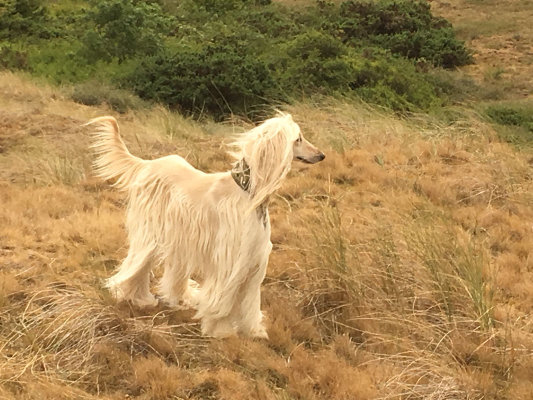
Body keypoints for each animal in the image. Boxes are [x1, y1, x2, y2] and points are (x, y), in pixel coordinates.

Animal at [87, 113, 324, 338]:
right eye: (298, 139)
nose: (321, 155)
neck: (247, 192)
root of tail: (147, 163)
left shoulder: (254, 257)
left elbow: (250, 299)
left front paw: (253, 331)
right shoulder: (230, 259)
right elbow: (224, 298)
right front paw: (221, 330)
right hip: (152, 232)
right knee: (137, 264)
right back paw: (137, 297)